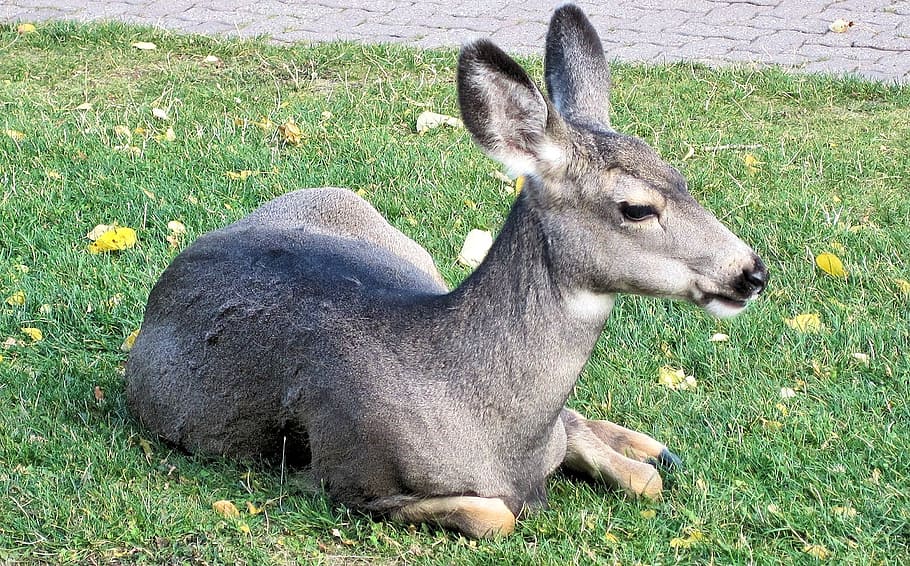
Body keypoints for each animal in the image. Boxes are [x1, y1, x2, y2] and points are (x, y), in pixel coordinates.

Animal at [125, 4, 768, 539]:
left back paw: (654, 447)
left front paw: (644, 458)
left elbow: (638, 479)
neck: (497, 433)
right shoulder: (351, 475)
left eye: (680, 175)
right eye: (636, 207)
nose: (752, 272)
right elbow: (494, 515)